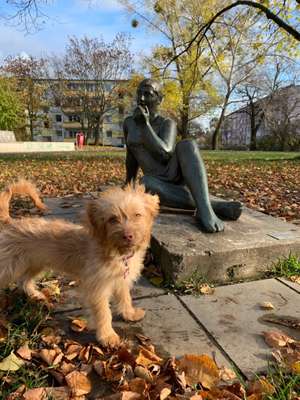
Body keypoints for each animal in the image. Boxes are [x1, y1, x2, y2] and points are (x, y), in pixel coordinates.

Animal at [0, 181, 159, 346]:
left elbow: (125, 298)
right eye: (112, 219)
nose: (128, 236)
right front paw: (107, 336)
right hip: (9, 267)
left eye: (137, 215)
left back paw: (35, 294)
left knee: (24, 280)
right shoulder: (97, 288)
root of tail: (12, 222)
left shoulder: (120, 280)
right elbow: (104, 312)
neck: (114, 251)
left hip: (36, 263)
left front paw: (129, 314)